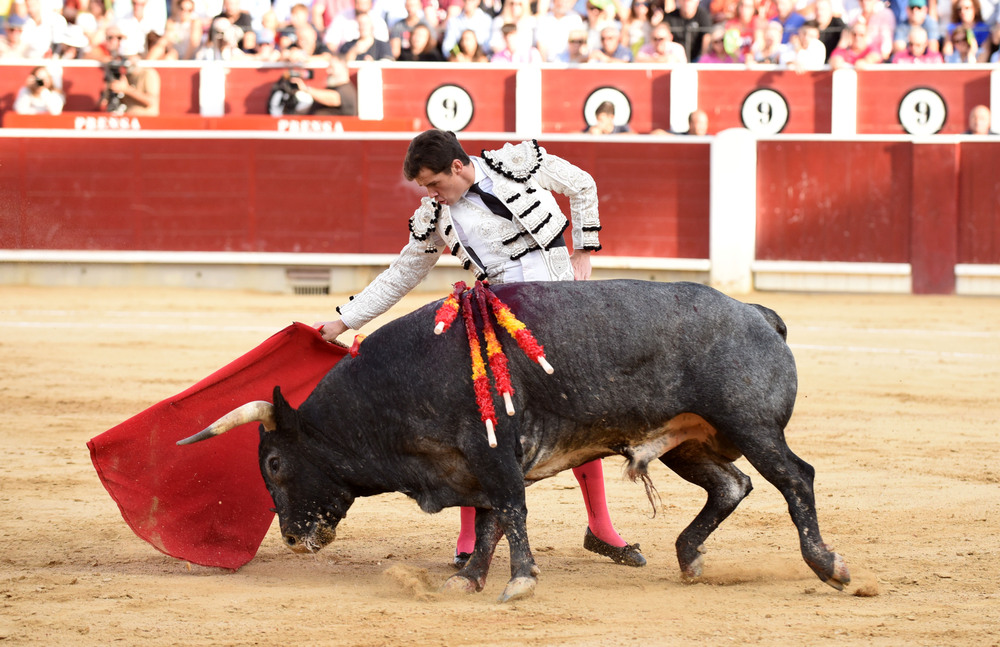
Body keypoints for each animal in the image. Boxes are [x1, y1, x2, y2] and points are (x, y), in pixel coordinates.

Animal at [182, 280, 852, 604]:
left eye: (274, 461)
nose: (294, 537)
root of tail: (757, 314)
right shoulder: (469, 466)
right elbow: (489, 522)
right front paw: (469, 580)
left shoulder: (491, 453)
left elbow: (512, 511)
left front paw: (519, 582)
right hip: (691, 443)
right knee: (732, 485)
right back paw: (688, 557)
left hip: (752, 427)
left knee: (795, 478)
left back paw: (829, 566)